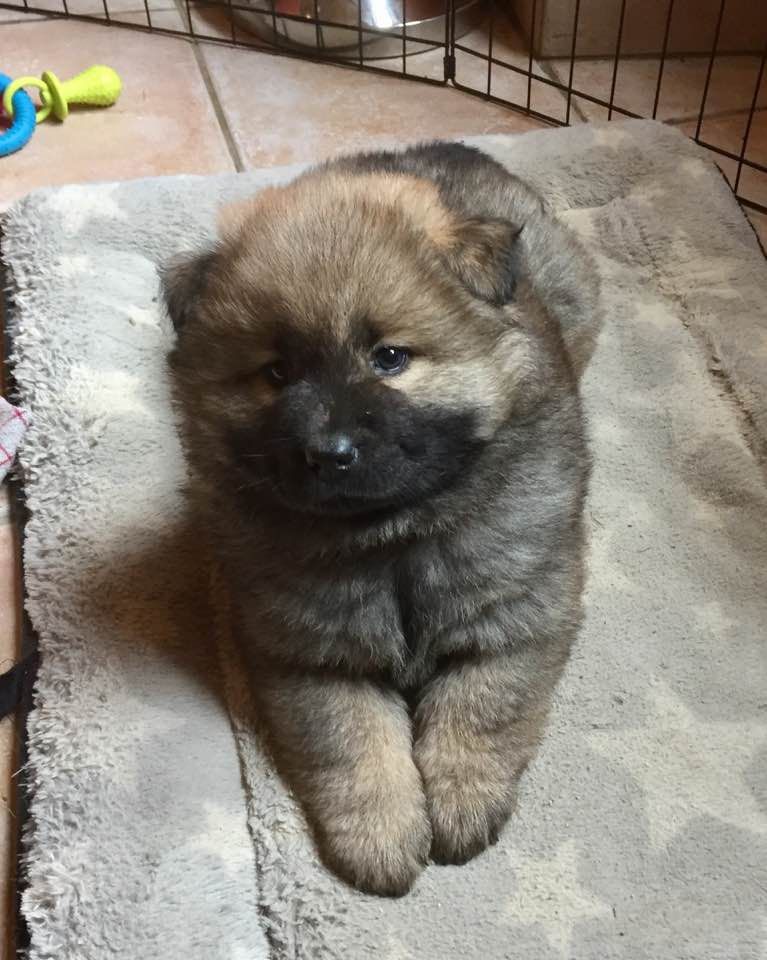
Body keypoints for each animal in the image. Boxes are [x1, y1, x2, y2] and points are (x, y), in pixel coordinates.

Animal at [164, 141, 599, 896]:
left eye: (389, 357)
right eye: (275, 373)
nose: (327, 452)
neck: (392, 535)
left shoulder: (515, 617)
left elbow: (480, 708)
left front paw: (461, 803)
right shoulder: (311, 651)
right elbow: (350, 743)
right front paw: (381, 836)